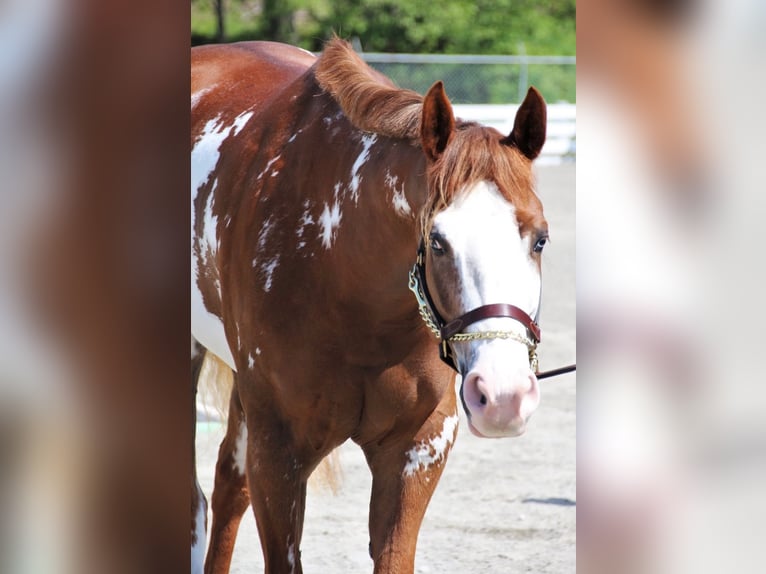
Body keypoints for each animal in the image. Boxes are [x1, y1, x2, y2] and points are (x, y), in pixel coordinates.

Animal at [191, 38, 549, 574]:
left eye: (540, 239)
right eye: (437, 241)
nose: (503, 396)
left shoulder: (417, 449)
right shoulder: (278, 454)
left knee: (229, 486)